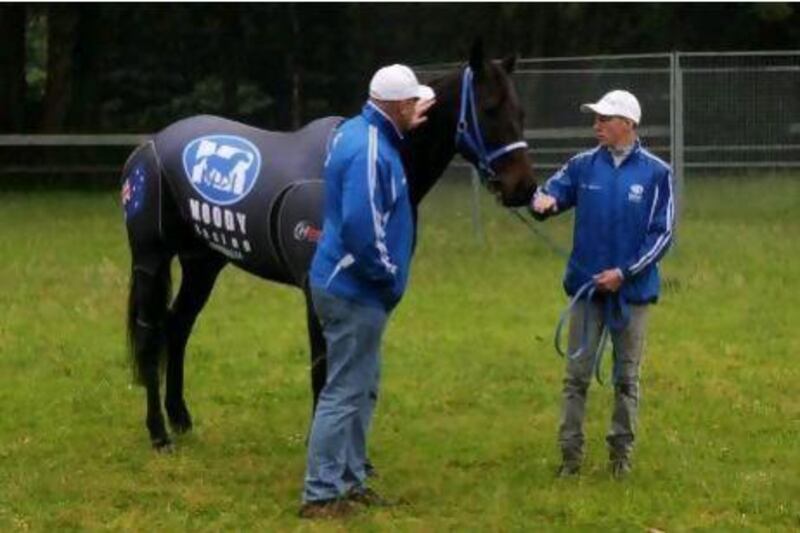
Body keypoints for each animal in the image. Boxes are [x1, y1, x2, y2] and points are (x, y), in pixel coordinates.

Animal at [123, 41, 536, 448]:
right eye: (489, 107)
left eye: (520, 110)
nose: (524, 187)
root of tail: (148, 147)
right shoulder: (317, 290)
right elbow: (323, 369)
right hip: (152, 260)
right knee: (150, 334)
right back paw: (158, 432)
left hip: (202, 263)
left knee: (178, 326)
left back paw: (180, 417)